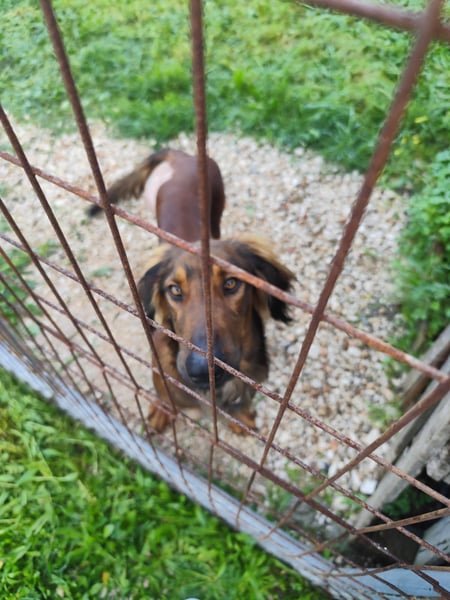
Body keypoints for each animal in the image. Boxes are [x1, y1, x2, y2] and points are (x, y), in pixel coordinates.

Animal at [91, 148, 294, 433]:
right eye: (175, 290)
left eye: (231, 284)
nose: (201, 372)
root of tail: (182, 156)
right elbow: (165, 396)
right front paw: (162, 410)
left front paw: (241, 416)